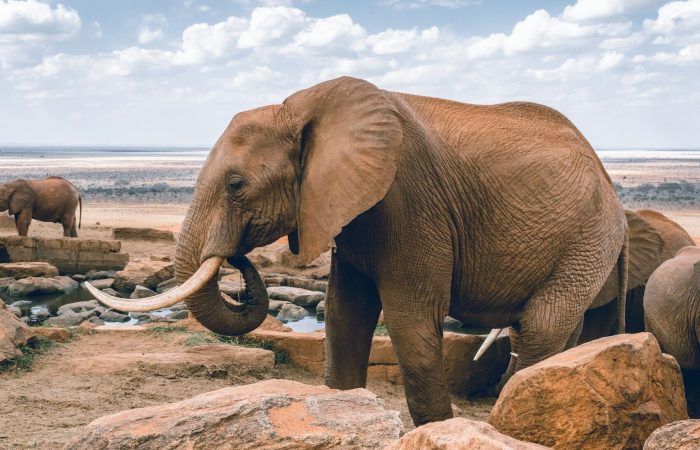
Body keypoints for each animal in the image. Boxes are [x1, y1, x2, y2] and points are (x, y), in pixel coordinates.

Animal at [87, 77, 628, 426]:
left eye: (236, 185)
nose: (236, 258)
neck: (302, 108)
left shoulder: (409, 199)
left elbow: (410, 321)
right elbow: (344, 313)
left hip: (589, 234)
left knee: (542, 325)